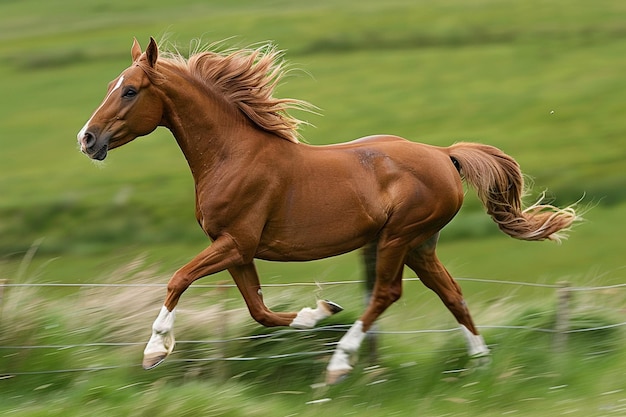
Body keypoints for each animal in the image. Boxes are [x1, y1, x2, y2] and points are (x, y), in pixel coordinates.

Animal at [78, 37, 580, 382]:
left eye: (130, 90)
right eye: (110, 86)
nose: (86, 139)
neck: (232, 155)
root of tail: (444, 154)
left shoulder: (235, 242)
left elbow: (179, 279)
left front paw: (154, 351)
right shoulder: (237, 249)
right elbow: (259, 309)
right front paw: (318, 310)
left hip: (398, 237)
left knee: (386, 294)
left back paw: (340, 364)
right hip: (421, 244)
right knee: (452, 294)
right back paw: (481, 366)